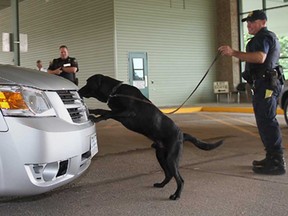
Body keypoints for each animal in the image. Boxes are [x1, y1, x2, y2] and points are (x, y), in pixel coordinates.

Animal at [78, 74, 223, 201]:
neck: (116, 91)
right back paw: (161, 185)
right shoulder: (120, 114)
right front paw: (92, 111)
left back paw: (176, 195)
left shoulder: (128, 112)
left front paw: (95, 117)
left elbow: (107, 113)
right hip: (160, 155)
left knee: (180, 179)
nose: (78, 91)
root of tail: (182, 134)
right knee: (169, 174)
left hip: (171, 158)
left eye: (88, 82)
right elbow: (103, 111)